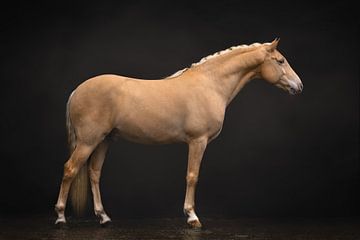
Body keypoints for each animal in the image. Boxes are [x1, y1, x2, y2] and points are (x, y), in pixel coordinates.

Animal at [54, 39, 300, 227]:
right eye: (280, 61)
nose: (299, 86)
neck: (211, 84)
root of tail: (77, 90)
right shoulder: (198, 141)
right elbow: (192, 176)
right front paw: (192, 217)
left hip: (104, 140)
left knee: (94, 173)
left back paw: (103, 217)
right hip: (88, 141)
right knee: (70, 169)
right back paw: (60, 217)